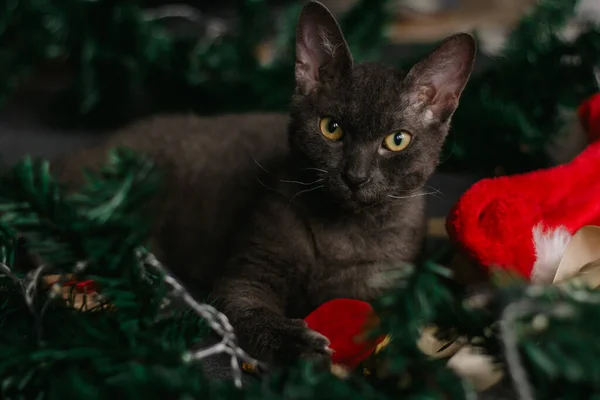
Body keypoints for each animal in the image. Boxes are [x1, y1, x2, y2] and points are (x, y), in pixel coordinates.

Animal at [51, 0, 476, 368]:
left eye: (397, 140)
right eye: (331, 128)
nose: (355, 176)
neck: (341, 231)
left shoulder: (383, 287)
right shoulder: (247, 273)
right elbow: (252, 311)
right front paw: (295, 343)